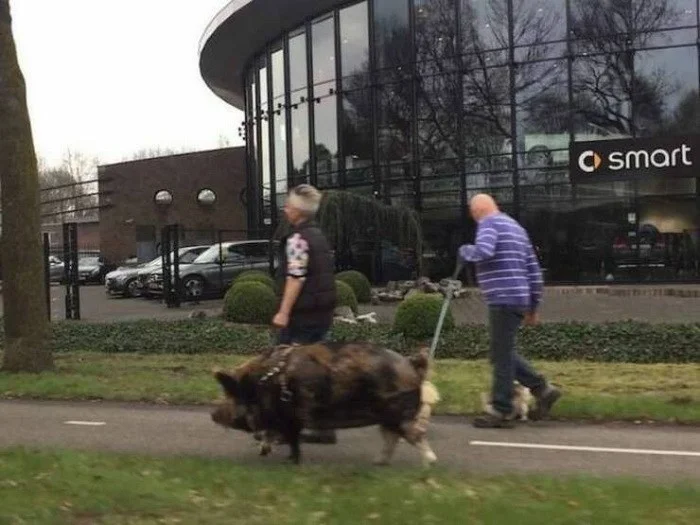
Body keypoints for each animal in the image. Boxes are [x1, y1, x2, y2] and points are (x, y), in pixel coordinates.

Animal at [211, 342, 440, 466]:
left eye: (230, 395)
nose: (213, 414)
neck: (261, 384)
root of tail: (411, 365)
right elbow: (274, 434)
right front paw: (264, 451)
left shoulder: (291, 417)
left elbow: (292, 439)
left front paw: (290, 462)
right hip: (387, 418)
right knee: (391, 438)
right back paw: (379, 462)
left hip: (399, 413)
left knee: (415, 435)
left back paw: (429, 463)